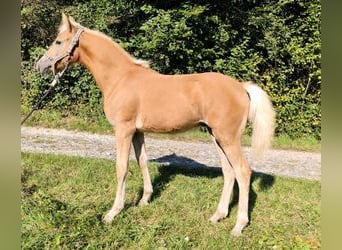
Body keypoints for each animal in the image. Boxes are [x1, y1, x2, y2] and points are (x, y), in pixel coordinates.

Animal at [36, 13, 276, 236]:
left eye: (58, 41)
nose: (40, 65)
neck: (120, 78)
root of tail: (242, 87)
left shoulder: (123, 130)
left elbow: (122, 167)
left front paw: (113, 213)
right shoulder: (138, 132)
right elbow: (142, 161)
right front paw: (145, 200)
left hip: (228, 137)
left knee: (243, 172)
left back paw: (238, 226)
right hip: (216, 136)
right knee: (229, 171)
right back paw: (218, 215)